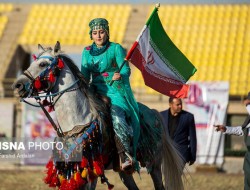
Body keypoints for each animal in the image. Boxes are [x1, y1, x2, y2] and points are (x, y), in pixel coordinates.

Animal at [13, 42, 186, 190]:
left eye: (42, 64)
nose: (18, 85)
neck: (77, 120)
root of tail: (153, 112)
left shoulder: (91, 172)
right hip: (123, 170)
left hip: (154, 164)